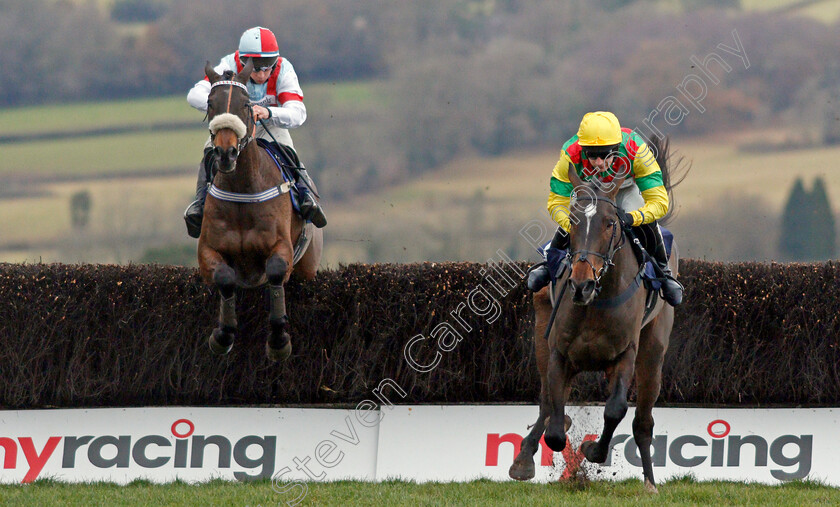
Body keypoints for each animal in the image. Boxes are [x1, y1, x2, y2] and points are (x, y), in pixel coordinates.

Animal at [199, 60, 324, 362]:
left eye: (246, 104)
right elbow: (225, 277)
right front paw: (222, 335)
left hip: (308, 266)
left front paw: (279, 341)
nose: (226, 154)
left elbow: (276, 271)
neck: (243, 189)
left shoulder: (282, 246)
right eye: (210, 102)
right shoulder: (207, 250)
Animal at [508, 137, 680, 494]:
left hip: (653, 352)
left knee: (643, 420)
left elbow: (615, 410)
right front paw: (560, 440)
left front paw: (593, 450)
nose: (581, 283)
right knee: (546, 401)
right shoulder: (559, 351)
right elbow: (554, 425)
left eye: (611, 223)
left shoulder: (626, 353)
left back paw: (649, 481)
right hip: (541, 331)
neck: (597, 303)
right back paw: (524, 459)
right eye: (572, 222)